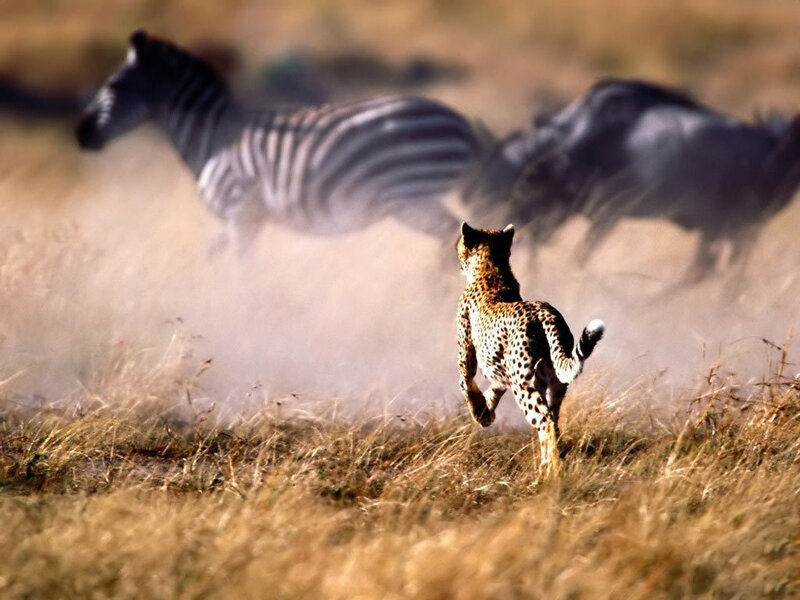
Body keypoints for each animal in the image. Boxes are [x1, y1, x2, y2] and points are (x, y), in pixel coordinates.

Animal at [76, 29, 491, 253]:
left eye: (114, 85)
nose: (80, 134)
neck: (212, 139)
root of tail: (462, 124)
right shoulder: (237, 222)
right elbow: (210, 259)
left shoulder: (240, 215)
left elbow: (245, 277)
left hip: (410, 197)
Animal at [456, 221, 605, 477]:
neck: (491, 269)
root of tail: (545, 311)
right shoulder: (501, 371)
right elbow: (494, 389)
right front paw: (487, 413)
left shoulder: (467, 355)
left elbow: (467, 384)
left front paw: (479, 413)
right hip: (555, 383)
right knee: (554, 420)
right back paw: (547, 466)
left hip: (525, 384)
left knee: (545, 421)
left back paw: (553, 473)